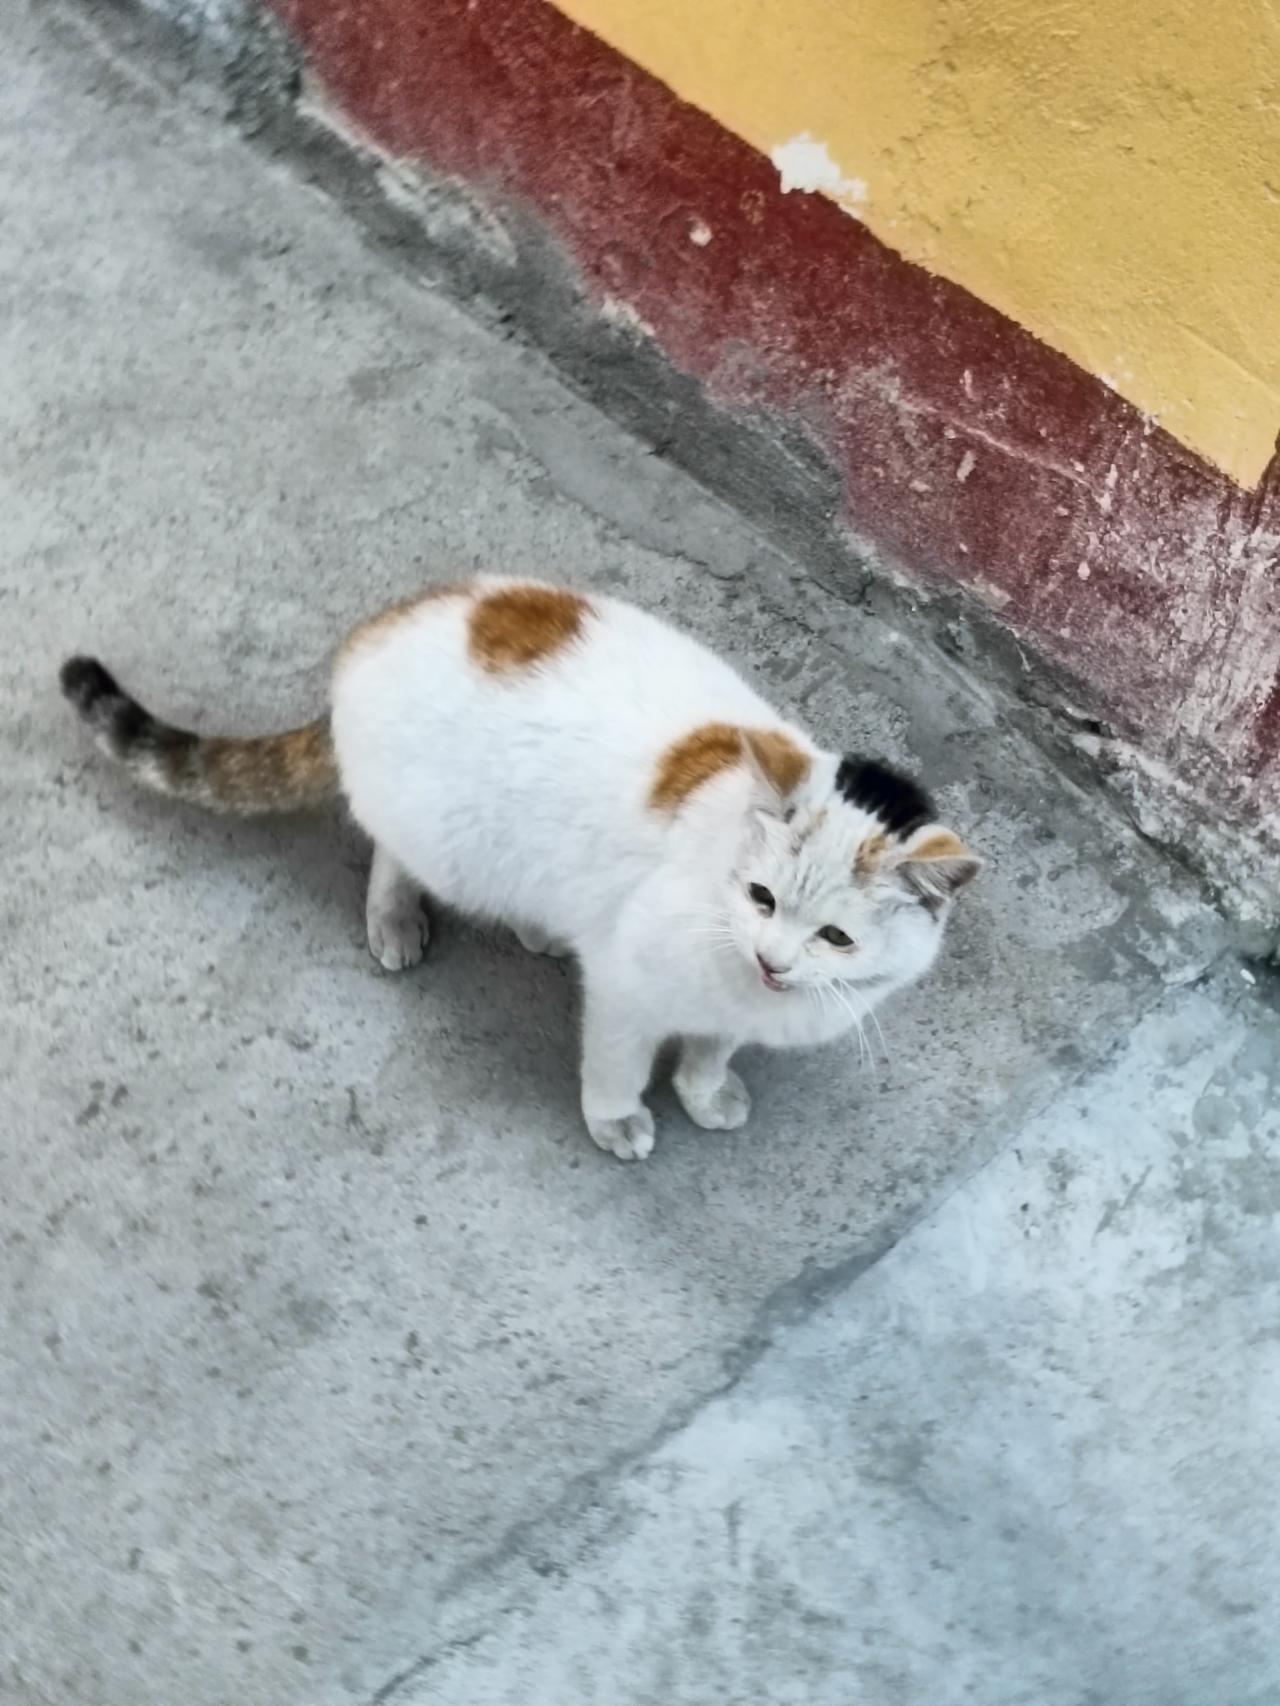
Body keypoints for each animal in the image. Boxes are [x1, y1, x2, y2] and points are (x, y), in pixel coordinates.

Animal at [60, 577, 980, 1160]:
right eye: (760, 896)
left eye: (835, 937)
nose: (773, 959)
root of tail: (366, 642)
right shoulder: (627, 988)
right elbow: (617, 1063)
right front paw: (617, 1120)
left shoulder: (733, 1006)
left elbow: (712, 1050)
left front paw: (705, 1090)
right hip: (444, 832)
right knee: (393, 850)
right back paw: (398, 915)